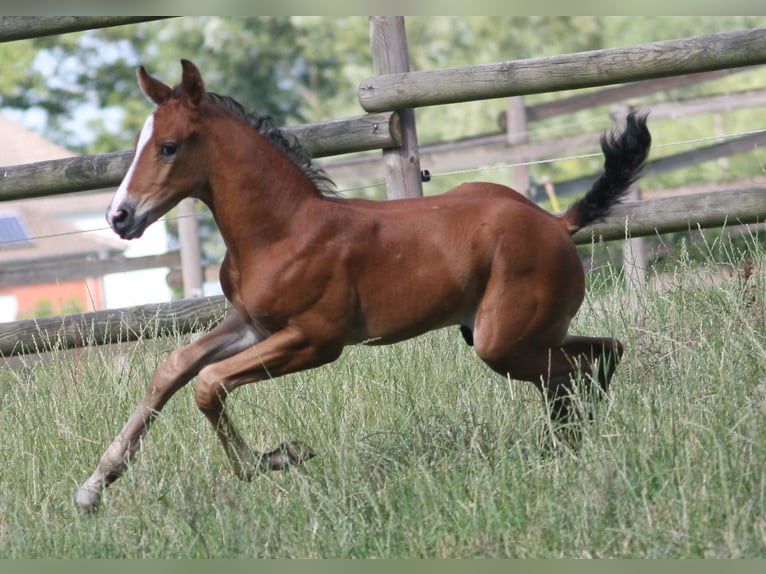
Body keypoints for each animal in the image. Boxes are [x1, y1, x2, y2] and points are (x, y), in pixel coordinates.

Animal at [72, 60, 652, 512]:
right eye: (140, 143)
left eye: (168, 147)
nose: (120, 216)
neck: (284, 230)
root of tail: (555, 222)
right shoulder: (253, 325)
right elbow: (174, 368)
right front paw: (93, 486)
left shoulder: (314, 340)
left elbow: (208, 383)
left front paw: (275, 458)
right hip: (521, 334)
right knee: (602, 353)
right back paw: (573, 445)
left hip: (502, 341)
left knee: (577, 372)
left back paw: (574, 448)